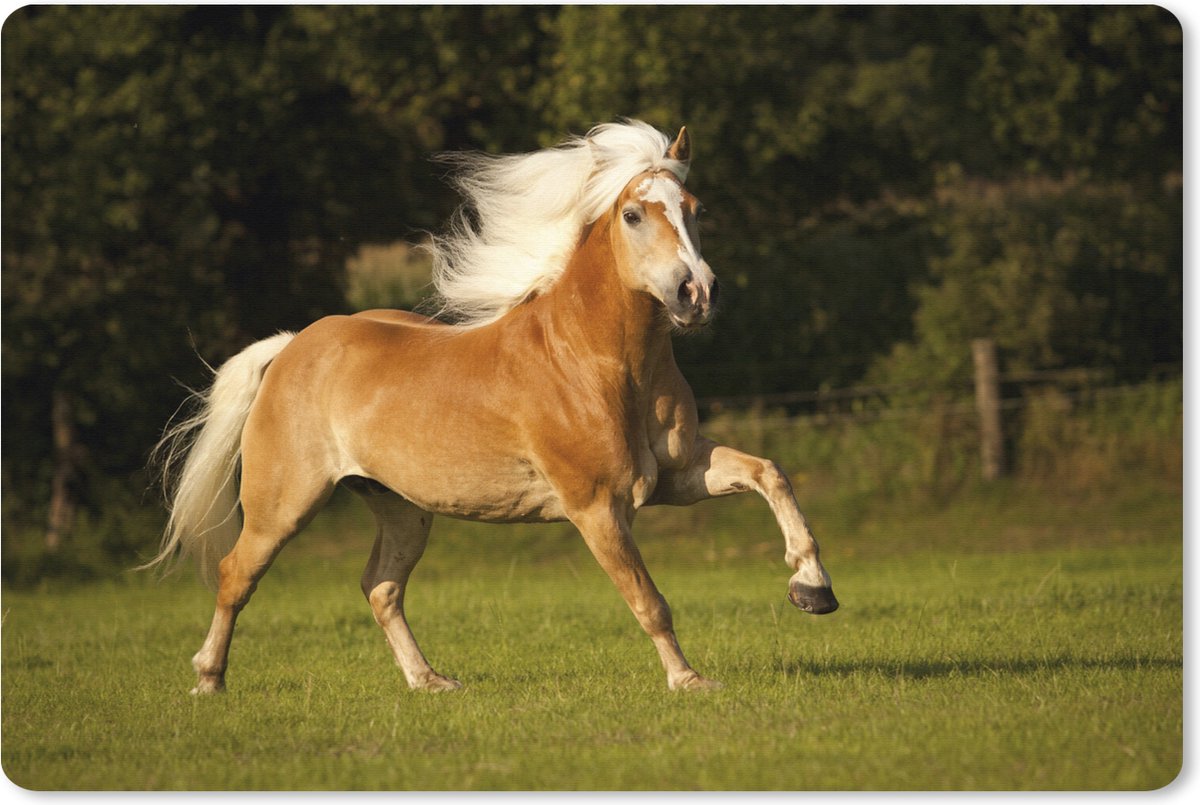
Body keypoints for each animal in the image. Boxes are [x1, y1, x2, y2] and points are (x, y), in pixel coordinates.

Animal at [145, 120, 838, 694]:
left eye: (695, 210)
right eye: (634, 214)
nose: (697, 293)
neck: (596, 362)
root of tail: (291, 348)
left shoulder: (677, 475)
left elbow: (769, 473)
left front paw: (813, 590)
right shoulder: (597, 507)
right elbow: (649, 600)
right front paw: (690, 681)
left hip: (401, 507)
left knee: (381, 587)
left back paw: (430, 682)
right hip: (284, 503)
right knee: (236, 574)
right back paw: (208, 680)